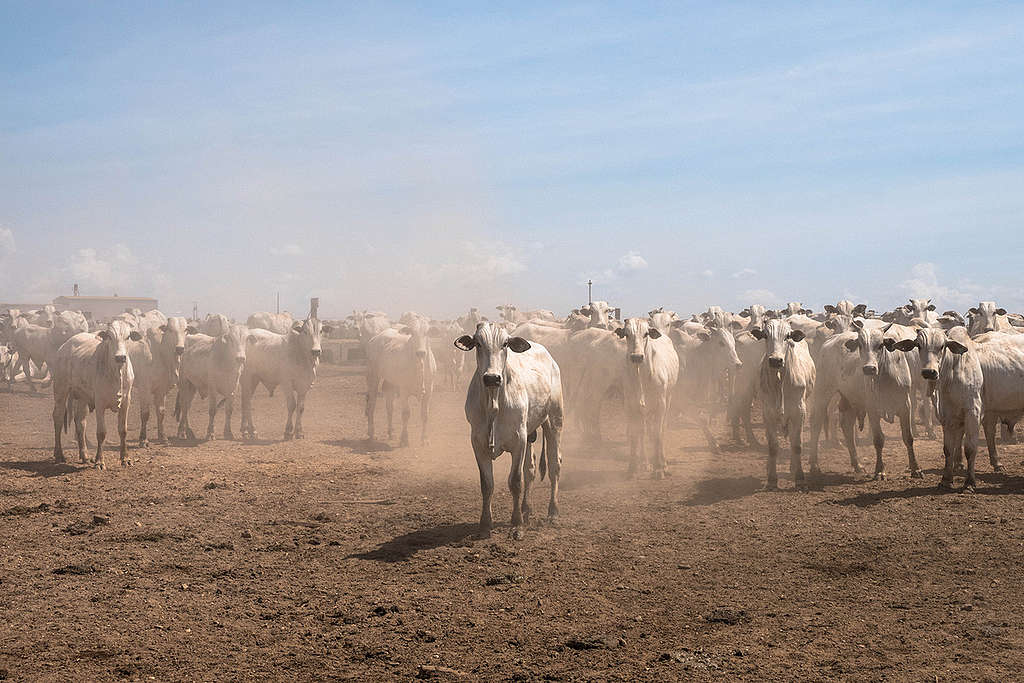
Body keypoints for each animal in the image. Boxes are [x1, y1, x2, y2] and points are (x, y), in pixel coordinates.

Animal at [51, 321, 141, 471]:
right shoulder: (100, 403)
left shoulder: (126, 401)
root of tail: (64, 346)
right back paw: (59, 454)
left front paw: (125, 459)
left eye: (128, 337)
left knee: (80, 422)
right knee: (57, 418)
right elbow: (101, 433)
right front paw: (99, 461)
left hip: (82, 397)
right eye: (109, 336)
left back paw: (84, 455)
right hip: (60, 390)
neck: (116, 373)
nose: (120, 357)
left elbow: (123, 430)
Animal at [366, 317, 434, 446]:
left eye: (427, 332)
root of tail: (376, 338)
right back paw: (371, 433)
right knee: (372, 402)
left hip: (390, 383)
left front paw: (425, 439)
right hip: (373, 375)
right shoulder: (404, 391)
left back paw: (390, 432)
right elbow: (406, 414)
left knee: (390, 407)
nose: (421, 352)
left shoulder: (429, 391)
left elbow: (425, 415)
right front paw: (404, 439)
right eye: (412, 332)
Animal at [456, 321, 565, 540]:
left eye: (505, 344)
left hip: (554, 421)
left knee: (554, 465)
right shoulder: (478, 443)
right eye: (478, 343)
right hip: (530, 433)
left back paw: (553, 513)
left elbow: (515, 482)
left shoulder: (518, 441)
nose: (492, 378)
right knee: (530, 469)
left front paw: (517, 525)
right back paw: (526, 510)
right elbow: (487, 484)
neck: (494, 402)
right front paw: (485, 526)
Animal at [614, 317, 679, 479]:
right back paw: (644, 462)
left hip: (668, 398)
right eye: (627, 334)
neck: (642, 376)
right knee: (643, 431)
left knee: (662, 430)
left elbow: (656, 434)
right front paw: (633, 468)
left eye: (645, 334)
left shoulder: (660, 405)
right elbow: (635, 434)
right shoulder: (630, 407)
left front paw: (659, 468)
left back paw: (662, 461)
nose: (637, 357)